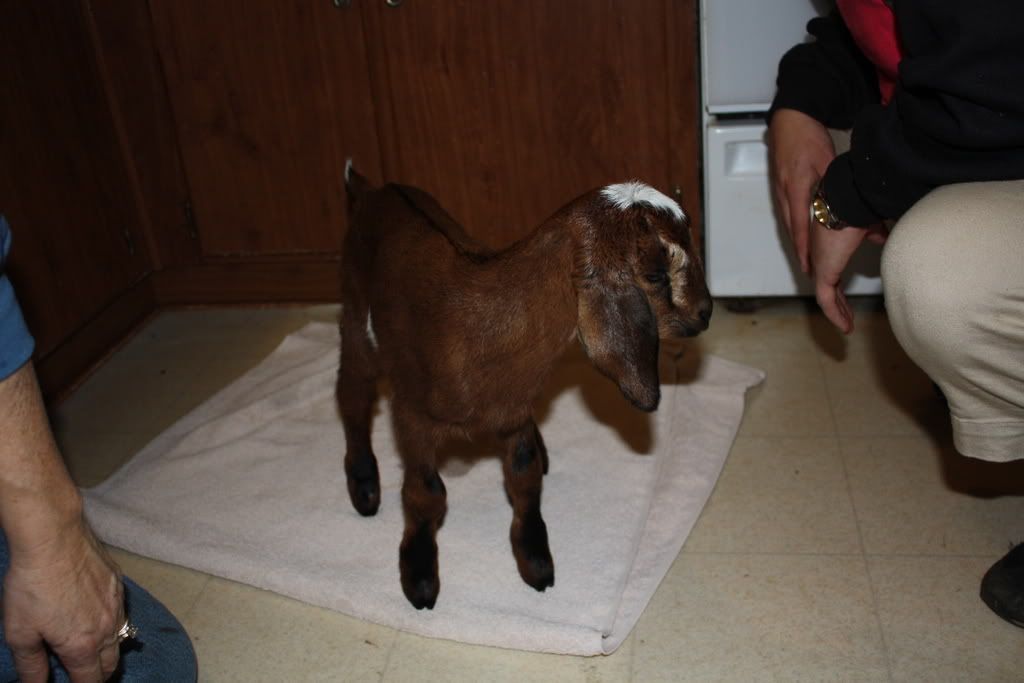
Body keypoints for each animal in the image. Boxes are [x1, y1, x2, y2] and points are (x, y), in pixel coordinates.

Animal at [338, 166, 712, 610]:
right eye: (655, 274)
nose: (706, 312)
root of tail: (370, 190)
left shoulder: (513, 414)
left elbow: (524, 477)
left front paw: (535, 559)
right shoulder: (411, 417)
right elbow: (426, 493)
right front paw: (420, 575)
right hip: (357, 320)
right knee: (352, 396)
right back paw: (363, 485)